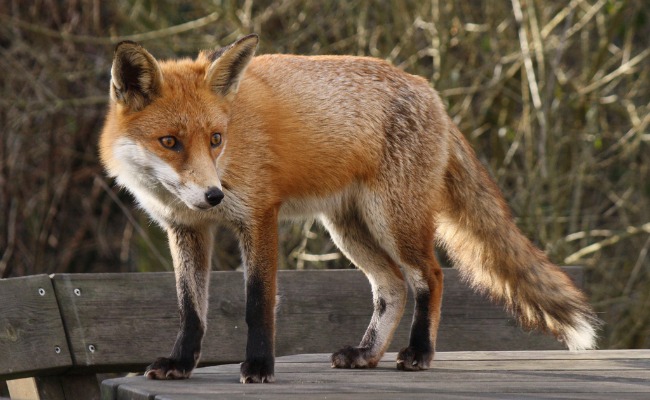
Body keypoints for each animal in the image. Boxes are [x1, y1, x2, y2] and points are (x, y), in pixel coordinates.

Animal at [97, 34, 596, 384]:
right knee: (392, 288)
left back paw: (419, 354)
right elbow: (190, 309)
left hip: (392, 220)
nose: (214, 196)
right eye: (170, 142)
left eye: (216, 139)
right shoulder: (186, 228)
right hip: (349, 228)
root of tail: (430, 91)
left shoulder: (258, 216)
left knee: (430, 277)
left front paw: (258, 366)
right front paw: (181, 362)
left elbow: (257, 303)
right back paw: (367, 354)